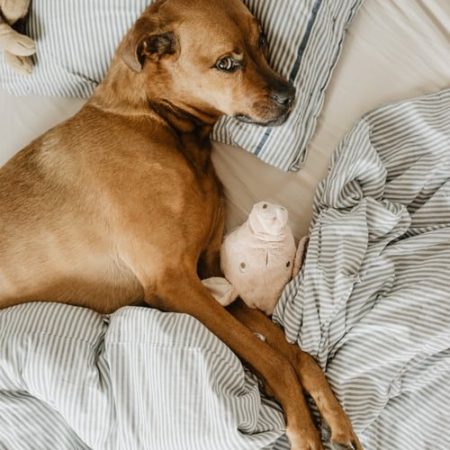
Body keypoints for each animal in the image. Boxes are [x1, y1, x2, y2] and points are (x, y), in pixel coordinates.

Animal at [0, 0, 362, 450]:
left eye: (261, 40)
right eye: (226, 63)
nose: (290, 95)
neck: (159, 124)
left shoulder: (207, 272)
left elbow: (294, 351)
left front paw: (334, 416)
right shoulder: (174, 283)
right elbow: (272, 360)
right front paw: (303, 427)